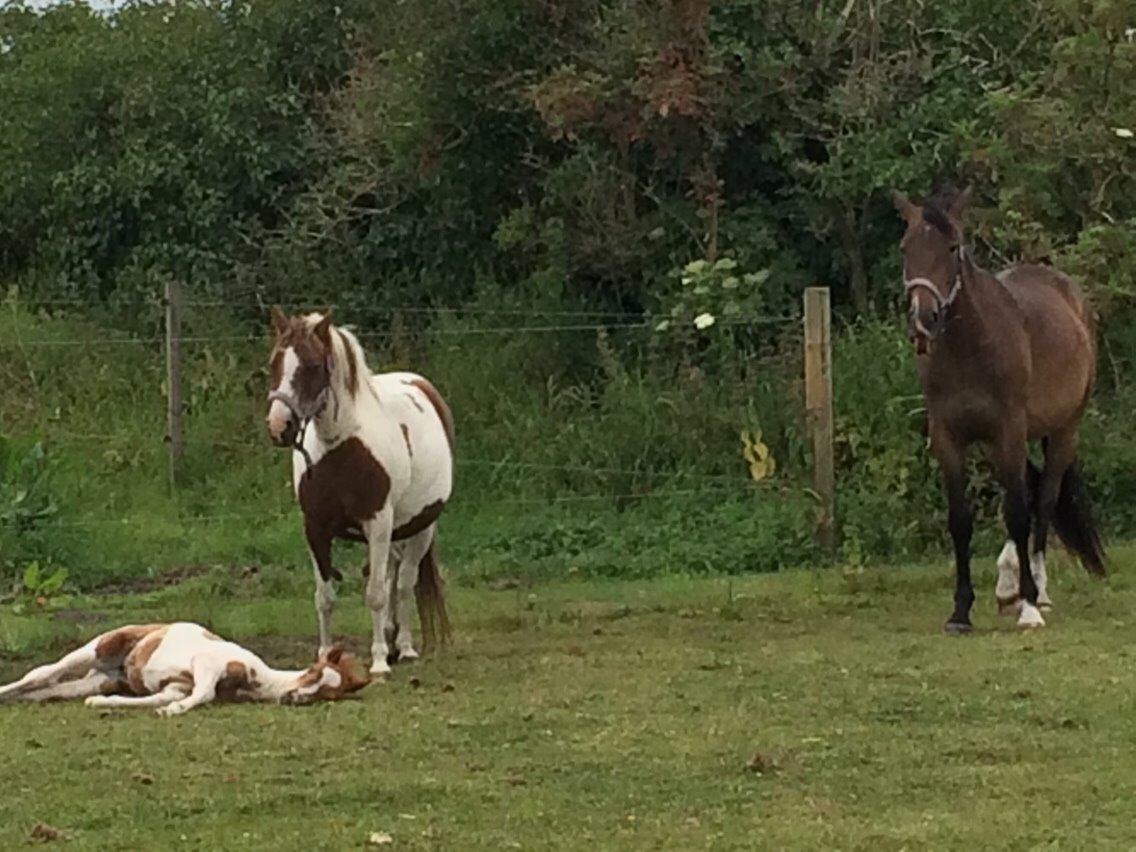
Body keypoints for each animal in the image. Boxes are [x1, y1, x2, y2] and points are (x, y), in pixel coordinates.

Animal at [0, 622, 368, 717]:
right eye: (313, 672)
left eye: (328, 693)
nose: (294, 698)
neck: (256, 677)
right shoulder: (205, 664)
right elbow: (203, 693)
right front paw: (175, 711)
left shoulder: (174, 685)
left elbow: (157, 699)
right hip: (94, 649)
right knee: (42, 673)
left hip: (100, 679)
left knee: (50, 689)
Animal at [265, 311, 452, 677]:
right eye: (275, 362)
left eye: (312, 365)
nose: (279, 426)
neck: (341, 445)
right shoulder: (315, 528)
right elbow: (324, 597)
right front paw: (324, 657)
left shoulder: (377, 521)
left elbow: (376, 594)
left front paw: (378, 662)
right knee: (393, 572)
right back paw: (392, 637)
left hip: (421, 527)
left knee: (403, 583)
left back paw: (403, 647)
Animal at [895, 188, 1099, 636]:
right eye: (905, 247)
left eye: (952, 248)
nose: (923, 320)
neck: (970, 349)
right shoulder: (950, 439)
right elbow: (960, 521)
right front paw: (960, 612)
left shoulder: (1009, 429)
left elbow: (1019, 514)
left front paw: (1029, 606)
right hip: (997, 443)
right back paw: (1007, 586)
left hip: (1063, 430)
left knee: (1042, 501)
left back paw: (1036, 588)